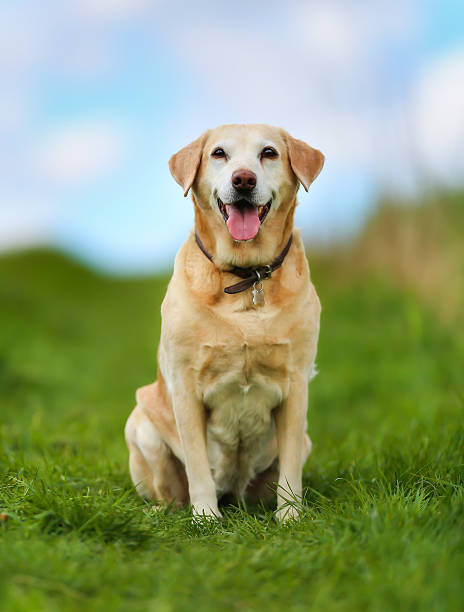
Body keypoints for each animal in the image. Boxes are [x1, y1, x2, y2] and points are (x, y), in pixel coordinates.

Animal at [125, 124, 324, 520]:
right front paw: (205, 516)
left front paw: (290, 516)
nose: (243, 179)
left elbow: (291, 466)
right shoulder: (185, 386)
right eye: (219, 153)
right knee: (168, 490)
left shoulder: (296, 385)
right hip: (140, 424)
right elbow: (197, 464)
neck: (246, 276)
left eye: (269, 153)